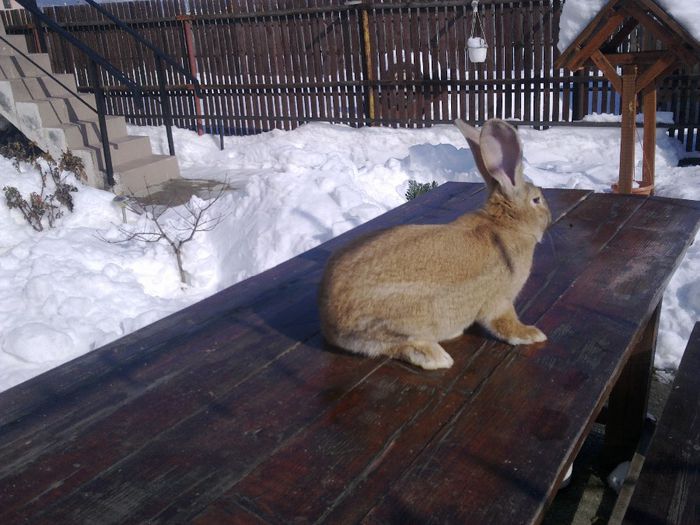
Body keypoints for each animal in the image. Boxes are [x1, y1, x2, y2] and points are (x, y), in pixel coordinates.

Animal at [318, 118, 552, 368]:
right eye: (536, 200)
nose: (549, 216)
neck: (504, 224)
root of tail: (329, 320)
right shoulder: (500, 301)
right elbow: (505, 324)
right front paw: (532, 334)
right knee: (394, 345)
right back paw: (435, 357)